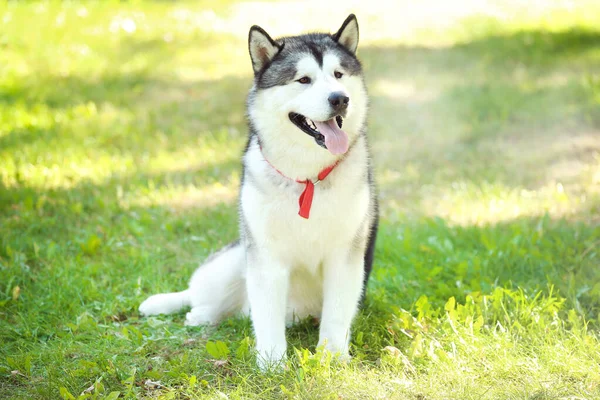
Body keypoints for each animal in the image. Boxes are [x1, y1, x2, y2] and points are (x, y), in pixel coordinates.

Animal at [138, 14, 378, 370]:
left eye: (338, 75)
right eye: (303, 79)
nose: (340, 98)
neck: (307, 176)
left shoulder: (346, 254)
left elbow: (336, 314)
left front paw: (332, 357)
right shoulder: (265, 255)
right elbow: (267, 316)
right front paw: (272, 364)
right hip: (234, 260)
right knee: (205, 296)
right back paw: (190, 311)